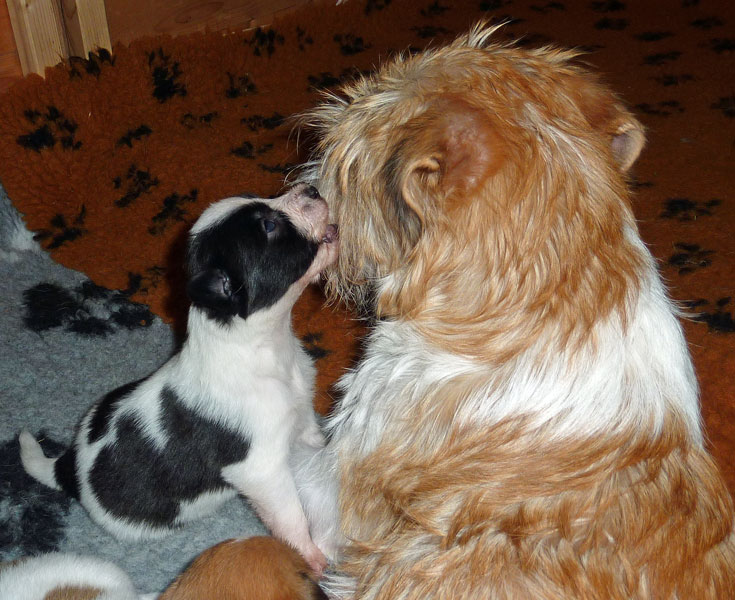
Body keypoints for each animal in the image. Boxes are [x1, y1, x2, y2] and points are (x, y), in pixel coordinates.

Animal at [19, 184, 338, 576]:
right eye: (268, 226)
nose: (311, 188)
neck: (268, 344)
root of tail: (69, 468)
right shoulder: (262, 470)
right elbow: (291, 516)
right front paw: (310, 556)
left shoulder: (303, 418)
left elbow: (318, 451)